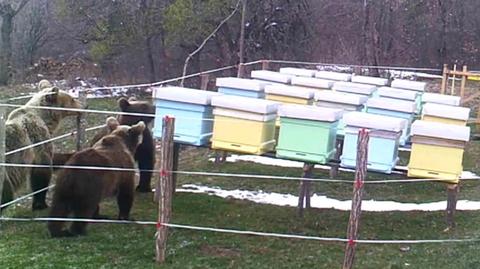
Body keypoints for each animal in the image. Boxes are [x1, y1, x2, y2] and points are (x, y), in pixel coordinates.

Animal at [1, 81, 82, 209]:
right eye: (72, 99)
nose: (84, 106)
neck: (45, 119)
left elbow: (54, 158)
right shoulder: (37, 138)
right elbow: (42, 171)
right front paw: (41, 204)